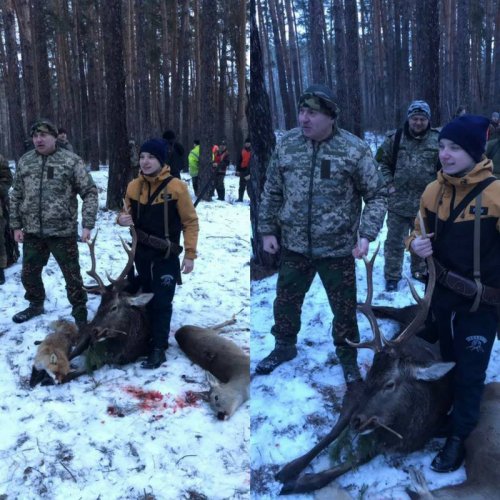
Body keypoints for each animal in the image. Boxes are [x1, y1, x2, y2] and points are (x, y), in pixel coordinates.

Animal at [274, 246, 458, 492]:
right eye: (370, 375)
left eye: (390, 384)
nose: (357, 422)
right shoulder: (357, 395)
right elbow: (332, 433)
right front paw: (289, 469)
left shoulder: (399, 442)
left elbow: (348, 465)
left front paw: (299, 482)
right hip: (408, 313)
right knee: (393, 309)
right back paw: (363, 305)